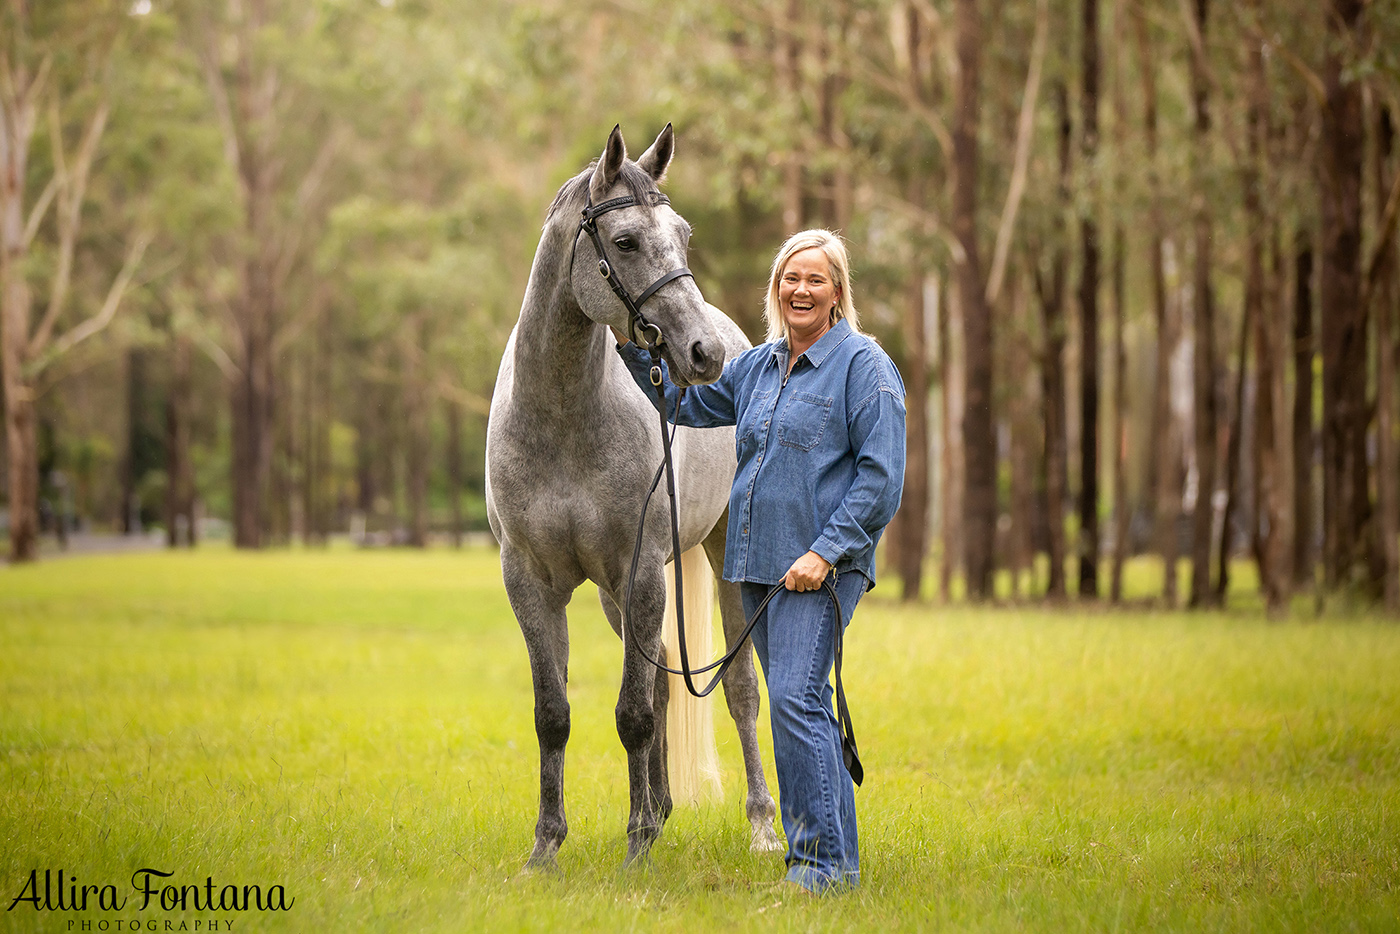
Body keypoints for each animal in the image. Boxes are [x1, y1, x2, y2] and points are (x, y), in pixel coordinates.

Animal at [487, 126, 784, 868]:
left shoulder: (642, 571)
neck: (562, 418)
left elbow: (633, 713)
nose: (702, 354)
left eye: (682, 234)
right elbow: (555, 714)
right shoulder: (531, 582)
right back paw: (661, 809)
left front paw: (635, 846)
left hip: (711, 567)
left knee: (738, 691)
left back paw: (761, 826)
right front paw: (546, 847)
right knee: (663, 678)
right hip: (615, 598)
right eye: (623, 241)